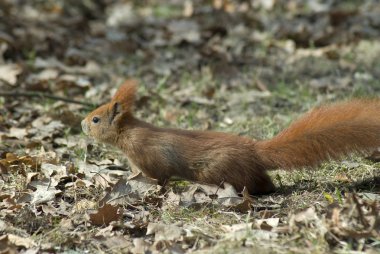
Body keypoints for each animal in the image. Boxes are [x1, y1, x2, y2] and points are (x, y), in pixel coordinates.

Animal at [81, 80, 380, 193]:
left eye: (96, 119)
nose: (82, 124)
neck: (129, 133)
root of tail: (254, 152)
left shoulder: (149, 154)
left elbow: (160, 176)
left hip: (217, 169)